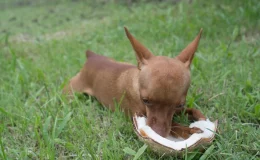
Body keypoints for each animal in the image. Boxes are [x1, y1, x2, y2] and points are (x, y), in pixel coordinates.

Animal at [63, 27, 205, 138]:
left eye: (180, 105)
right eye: (145, 100)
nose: (158, 134)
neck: (137, 85)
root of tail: (91, 57)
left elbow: (192, 110)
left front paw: (201, 118)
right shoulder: (140, 115)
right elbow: (174, 126)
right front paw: (188, 130)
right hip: (72, 91)